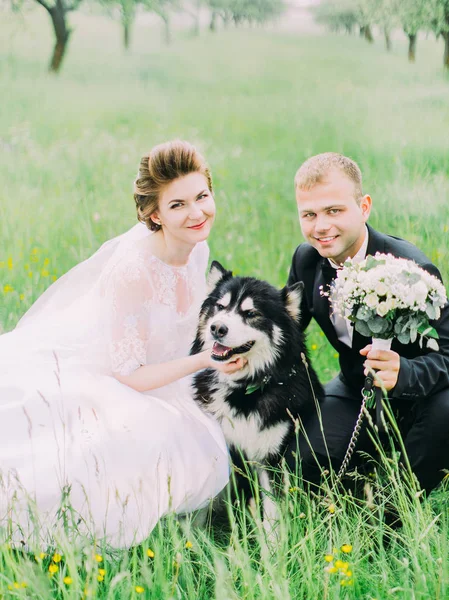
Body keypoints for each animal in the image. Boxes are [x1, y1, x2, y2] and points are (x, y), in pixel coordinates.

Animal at [189, 262, 322, 524]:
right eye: (220, 307)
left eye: (251, 314)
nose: (217, 328)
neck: (243, 390)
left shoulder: (271, 459)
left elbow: (271, 512)